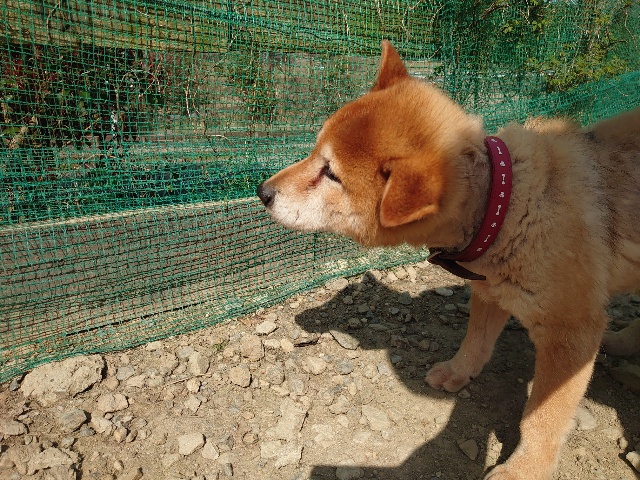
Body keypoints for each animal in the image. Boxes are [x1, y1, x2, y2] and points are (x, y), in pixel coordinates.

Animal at [257, 40, 640, 479]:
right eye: (313, 151)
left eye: (332, 174)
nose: (262, 191)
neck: (504, 203)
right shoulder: (490, 290)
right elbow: (476, 341)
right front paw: (459, 372)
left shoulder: (570, 331)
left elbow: (541, 418)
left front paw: (526, 467)